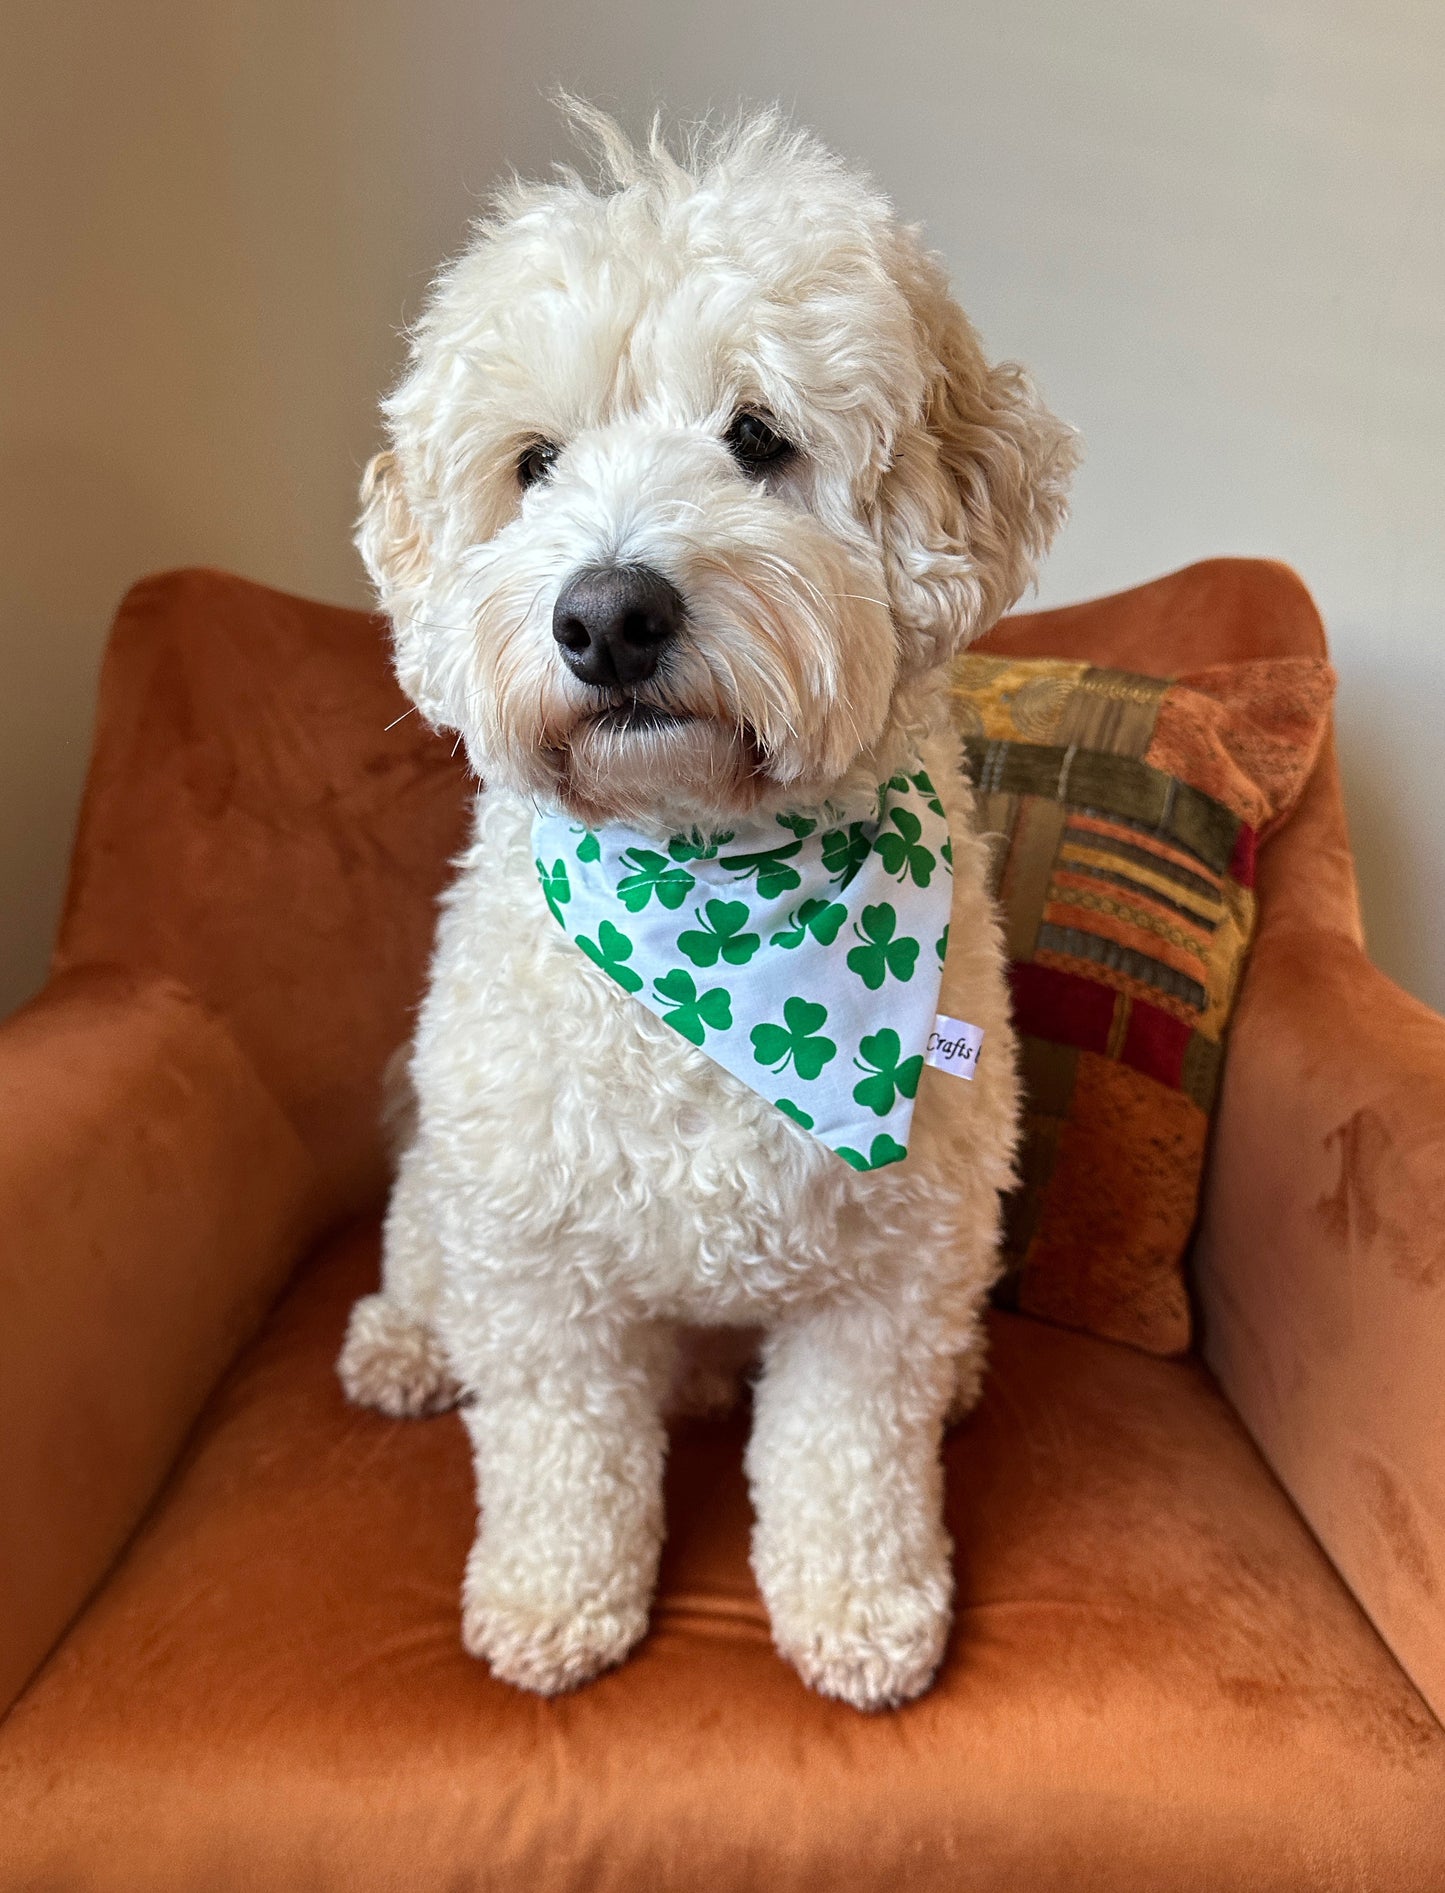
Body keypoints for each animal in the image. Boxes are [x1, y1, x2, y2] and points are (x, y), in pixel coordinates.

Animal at [338, 107, 1083, 1718]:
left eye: (756, 439)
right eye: (532, 464)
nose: (607, 616)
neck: (714, 884)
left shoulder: (884, 1275)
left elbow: (848, 1460)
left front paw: (861, 1613)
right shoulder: (540, 1268)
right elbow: (557, 1452)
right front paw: (554, 1602)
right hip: (450, 1187)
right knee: (423, 1261)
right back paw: (405, 1345)